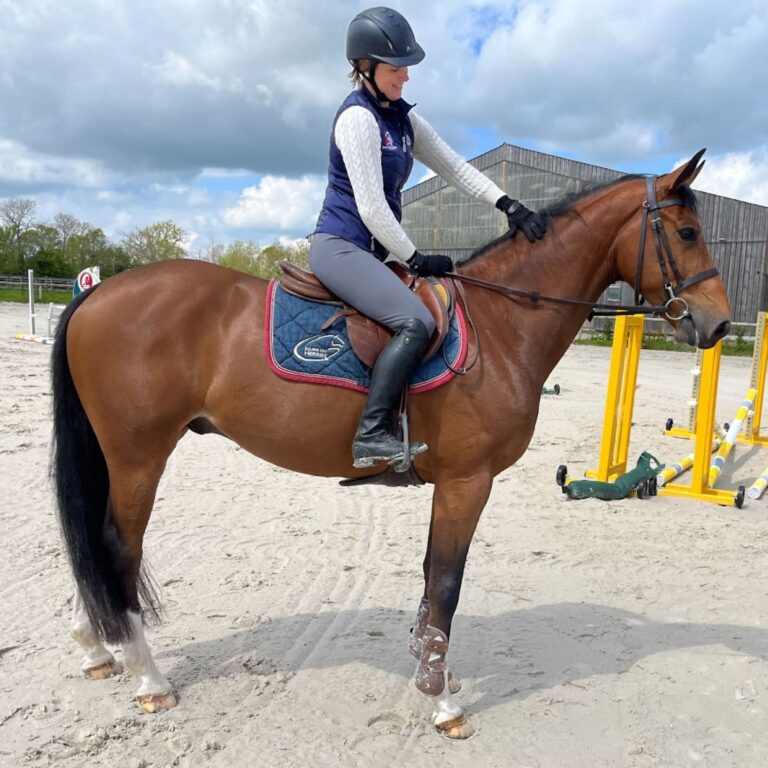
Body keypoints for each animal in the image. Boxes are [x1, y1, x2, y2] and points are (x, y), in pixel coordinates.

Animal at [52, 150, 730, 738]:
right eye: (687, 232)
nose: (719, 324)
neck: (500, 324)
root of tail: (99, 291)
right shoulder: (467, 482)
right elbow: (446, 585)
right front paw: (442, 701)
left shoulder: (451, 485)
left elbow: (433, 581)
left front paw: (429, 673)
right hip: (140, 456)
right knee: (118, 547)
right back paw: (147, 677)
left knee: (98, 548)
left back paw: (99, 648)